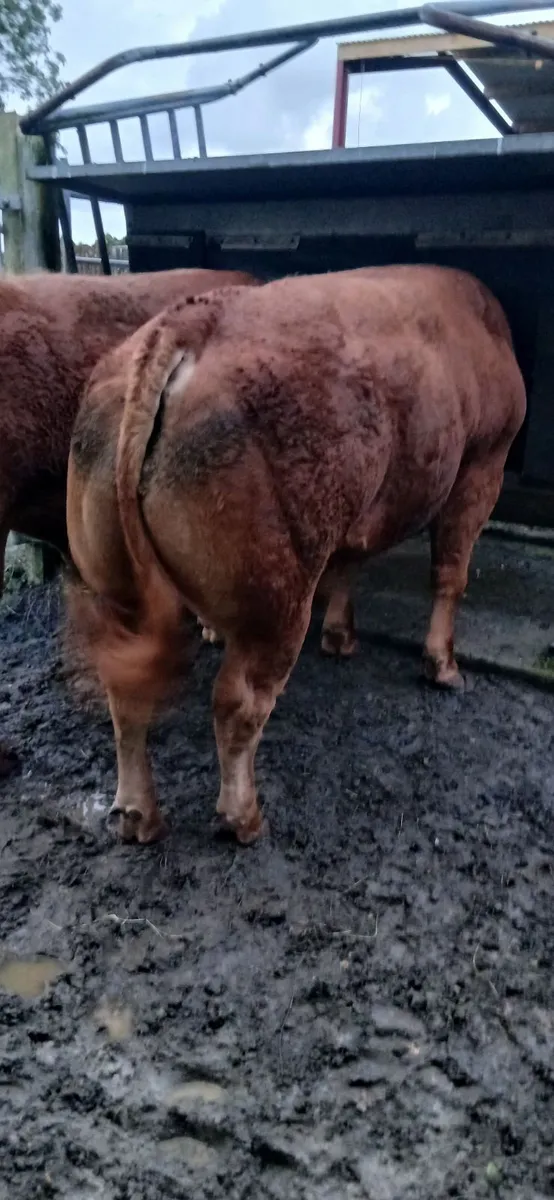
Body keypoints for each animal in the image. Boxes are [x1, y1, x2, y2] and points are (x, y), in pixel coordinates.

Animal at [66, 265, 526, 847]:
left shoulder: (359, 510)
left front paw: (340, 636)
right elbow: (451, 573)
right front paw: (442, 665)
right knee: (238, 703)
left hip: (114, 581)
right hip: (278, 593)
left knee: (124, 694)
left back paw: (137, 814)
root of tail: (187, 322)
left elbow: (350, 563)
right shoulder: (482, 465)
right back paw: (243, 817)